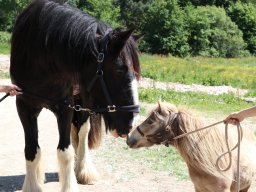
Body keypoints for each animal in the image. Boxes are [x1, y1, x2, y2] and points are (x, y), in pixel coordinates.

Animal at [10, 0, 141, 191]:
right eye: (120, 70)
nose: (131, 123)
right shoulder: (24, 105)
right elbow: (32, 150)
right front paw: (33, 184)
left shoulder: (65, 106)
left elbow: (65, 152)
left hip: (83, 103)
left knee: (82, 133)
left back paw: (83, 170)